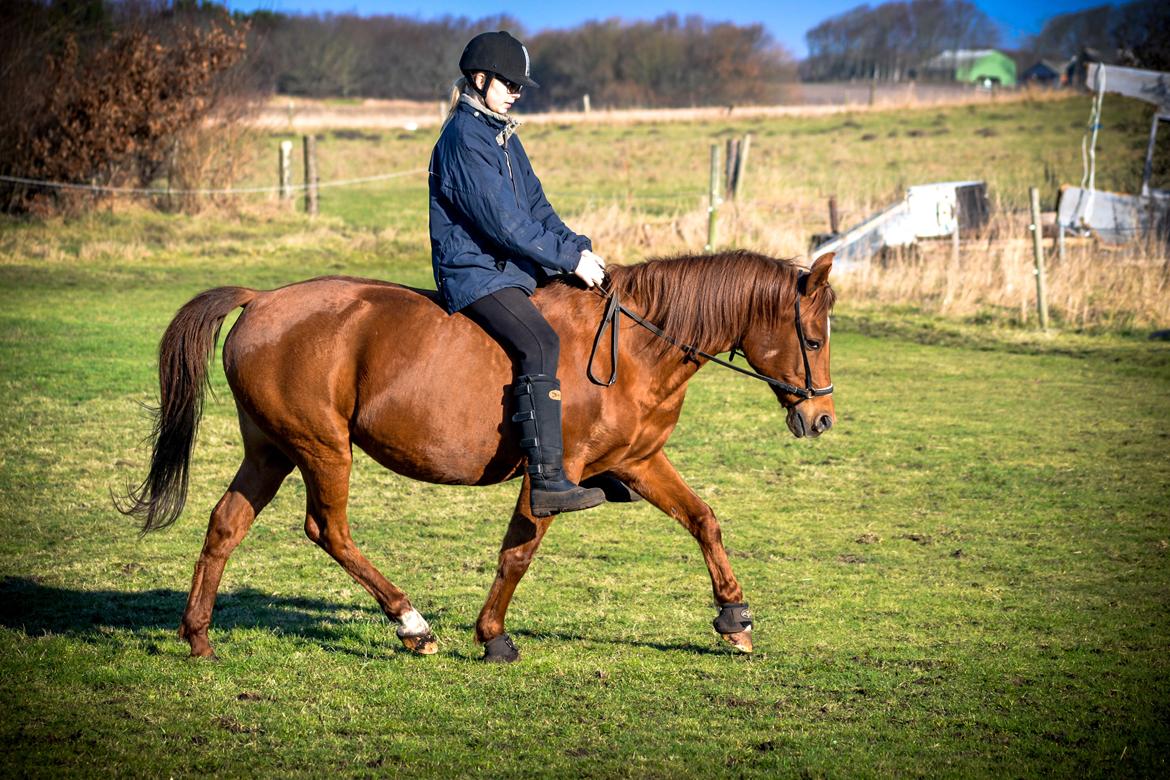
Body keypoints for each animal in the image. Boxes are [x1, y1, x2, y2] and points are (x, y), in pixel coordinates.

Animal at [121, 251, 833, 664]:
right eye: (813, 338)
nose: (820, 419)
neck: (631, 349)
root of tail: (262, 300)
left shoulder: (638, 462)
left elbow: (704, 520)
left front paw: (735, 619)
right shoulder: (560, 474)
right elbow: (519, 551)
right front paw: (493, 637)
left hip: (271, 449)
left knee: (225, 525)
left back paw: (199, 638)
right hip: (321, 448)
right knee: (328, 529)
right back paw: (412, 625)